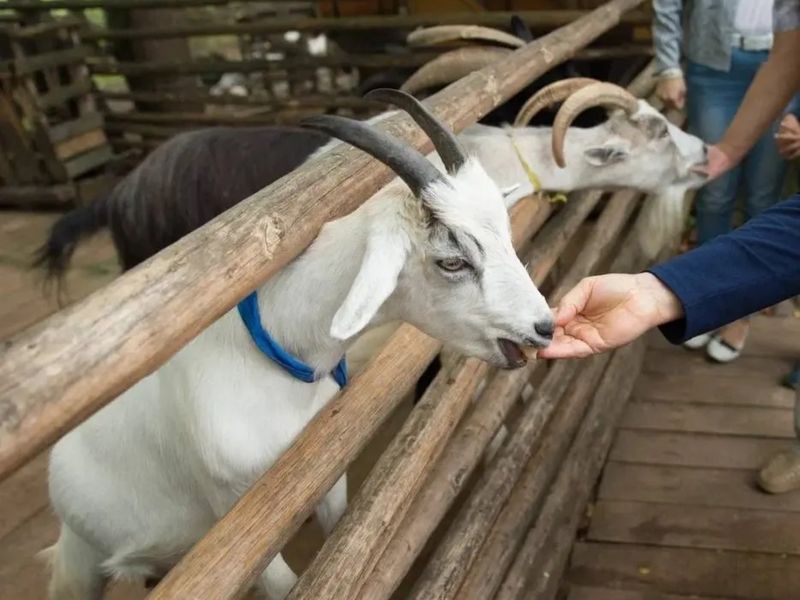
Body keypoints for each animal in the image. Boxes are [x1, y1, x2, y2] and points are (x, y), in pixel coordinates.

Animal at [44, 90, 555, 600]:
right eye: (451, 261)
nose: (544, 326)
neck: (271, 359)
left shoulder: (324, 484)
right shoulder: (239, 527)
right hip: (80, 558)